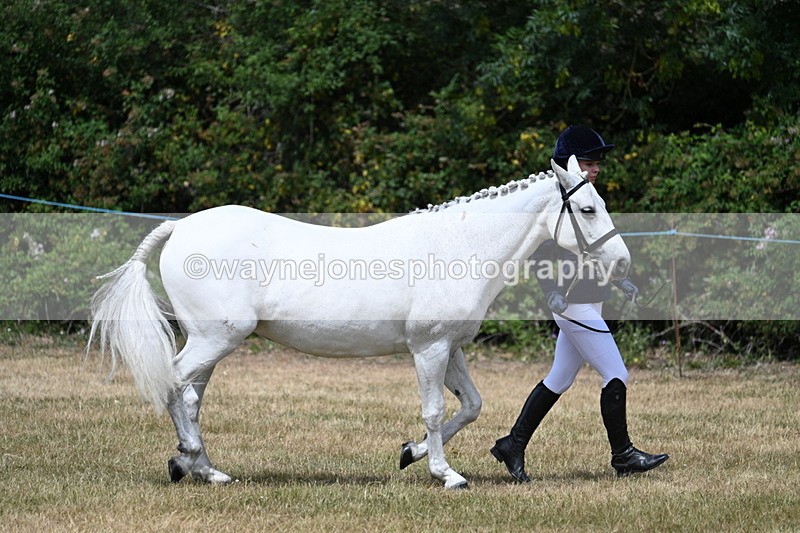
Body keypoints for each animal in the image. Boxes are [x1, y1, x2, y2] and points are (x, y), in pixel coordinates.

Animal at [88, 156, 630, 489]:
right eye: (587, 208)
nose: (622, 263)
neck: (458, 248)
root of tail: (181, 226)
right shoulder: (428, 348)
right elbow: (435, 411)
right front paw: (446, 474)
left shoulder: (449, 347)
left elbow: (471, 406)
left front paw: (411, 453)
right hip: (212, 338)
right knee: (175, 385)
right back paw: (188, 456)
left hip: (211, 342)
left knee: (191, 397)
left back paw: (204, 470)